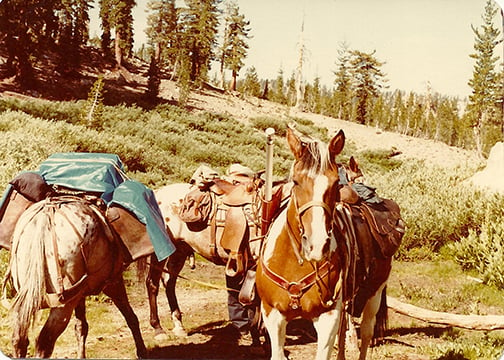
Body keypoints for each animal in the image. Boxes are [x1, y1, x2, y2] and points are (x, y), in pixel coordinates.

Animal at [7, 195, 147, 358]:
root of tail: (43, 220)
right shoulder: (113, 282)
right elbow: (131, 317)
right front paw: (142, 352)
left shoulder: (80, 294)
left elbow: (81, 327)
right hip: (63, 304)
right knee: (44, 341)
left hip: (28, 297)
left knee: (19, 340)